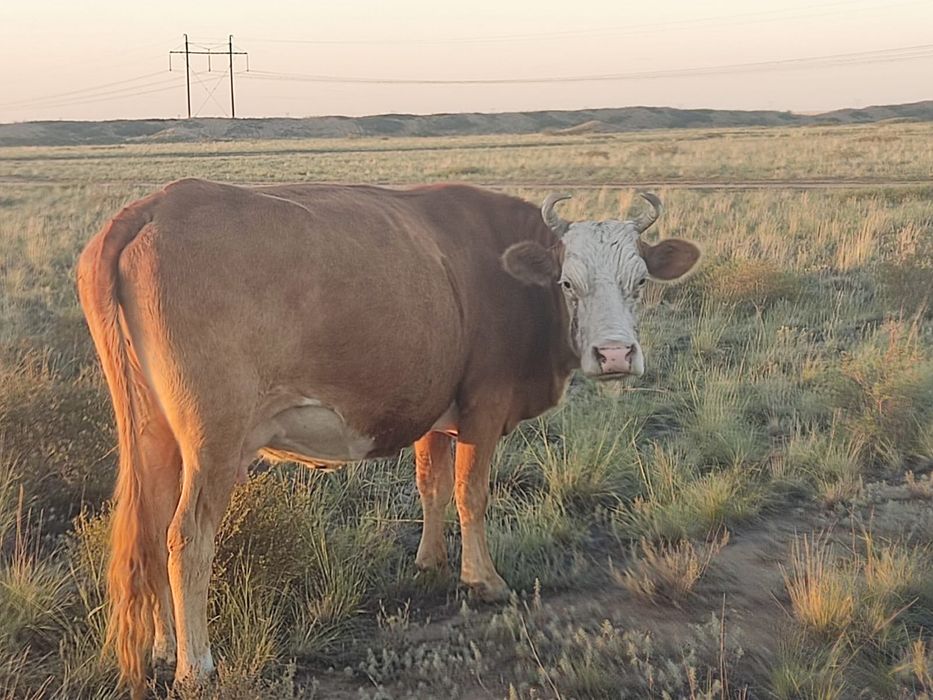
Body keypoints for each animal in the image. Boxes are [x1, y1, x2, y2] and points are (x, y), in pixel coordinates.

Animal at [76, 179, 700, 695]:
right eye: (568, 282)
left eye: (640, 282)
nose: (615, 355)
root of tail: (156, 206)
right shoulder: (484, 405)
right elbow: (471, 494)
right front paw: (484, 580)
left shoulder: (434, 413)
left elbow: (433, 486)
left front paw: (431, 562)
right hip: (214, 442)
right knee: (187, 538)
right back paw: (194, 666)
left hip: (155, 435)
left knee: (151, 528)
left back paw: (162, 648)